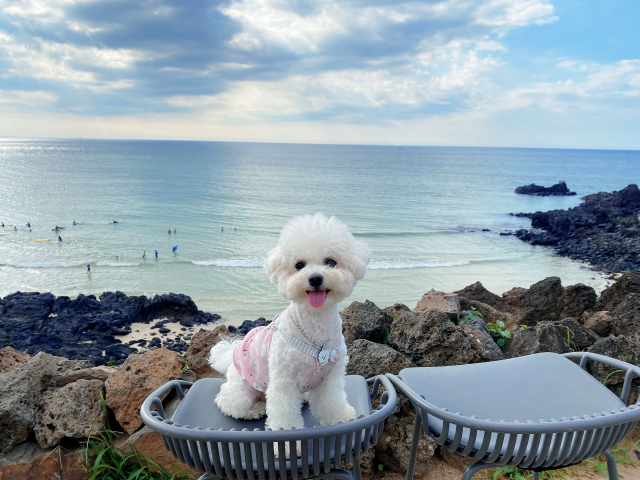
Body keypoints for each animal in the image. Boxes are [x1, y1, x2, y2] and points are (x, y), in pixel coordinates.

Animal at [208, 213, 372, 442]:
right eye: (299, 265)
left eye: (331, 262)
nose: (315, 278)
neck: (315, 325)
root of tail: (231, 353)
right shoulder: (283, 382)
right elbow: (284, 414)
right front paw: (285, 442)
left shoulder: (331, 376)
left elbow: (332, 400)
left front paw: (339, 417)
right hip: (241, 389)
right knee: (228, 402)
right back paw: (254, 409)